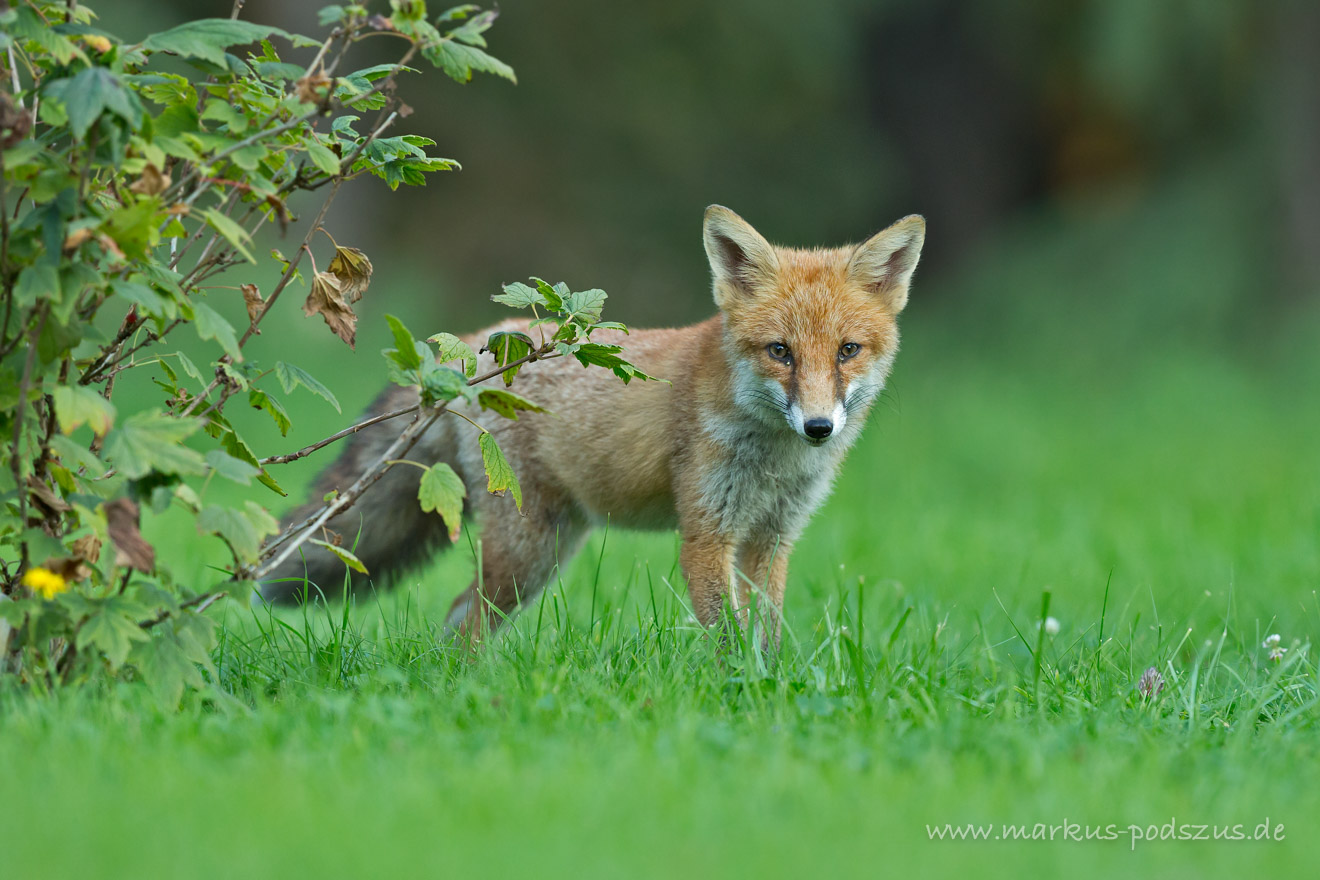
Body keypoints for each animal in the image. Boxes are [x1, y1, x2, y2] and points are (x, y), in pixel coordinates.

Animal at [260, 205, 926, 643]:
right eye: (780, 352)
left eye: (847, 351)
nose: (819, 427)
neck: (775, 459)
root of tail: (477, 343)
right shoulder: (706, 533)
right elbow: (730, 643)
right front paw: (746, 701)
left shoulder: (771, 538)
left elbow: (766, 635)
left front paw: (772, 693)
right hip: (529, 550)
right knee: (466, 621)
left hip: (548, 550)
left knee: (457, 622)